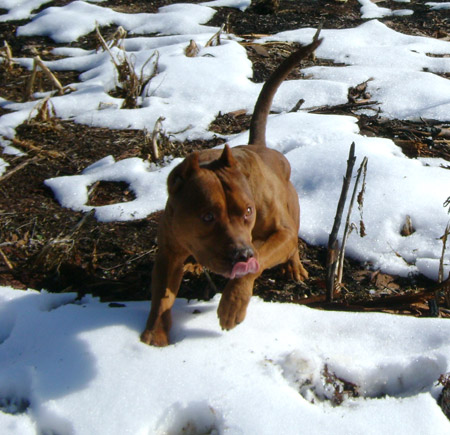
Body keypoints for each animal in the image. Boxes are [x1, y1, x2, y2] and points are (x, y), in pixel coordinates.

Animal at [141, 41, 320, 348]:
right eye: (207, 216)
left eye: (248, 211)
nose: (242, 255)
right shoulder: (168, 252)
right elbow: (161, 296)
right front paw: (154, 334)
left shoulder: (279, 235)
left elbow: (256, 264)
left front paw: (232, 304)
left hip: (291, 217)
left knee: (292, 246)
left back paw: (294, 267)